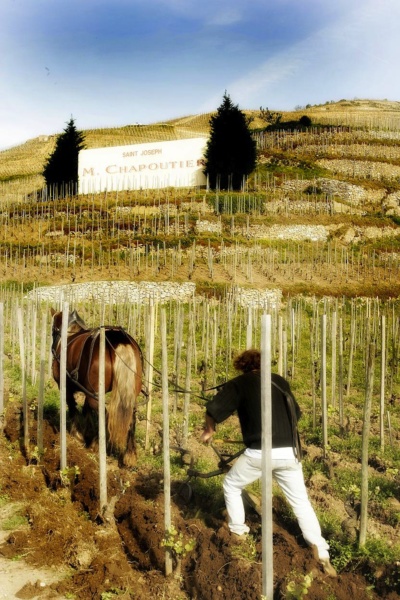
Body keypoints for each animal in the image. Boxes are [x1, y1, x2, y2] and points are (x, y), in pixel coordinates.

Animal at [50, 308, 143, 466]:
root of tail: (119, 340)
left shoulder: (66, 386)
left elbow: (73, 407)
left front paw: (78, 434)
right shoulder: (87, 390)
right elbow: (85, 409)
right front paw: (87, 433)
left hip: (95, 394)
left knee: (104, 414)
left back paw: (97, 444)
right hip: (127, 395)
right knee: (131, 418)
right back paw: (129, 456)